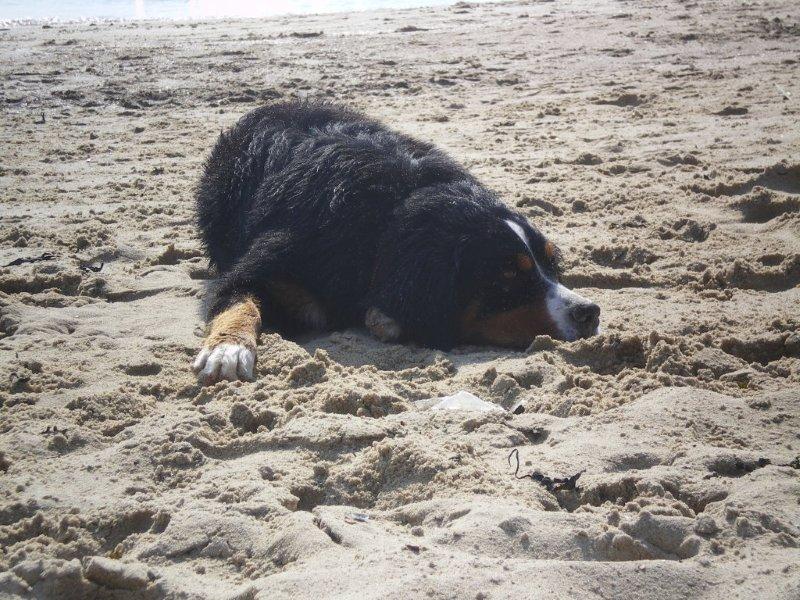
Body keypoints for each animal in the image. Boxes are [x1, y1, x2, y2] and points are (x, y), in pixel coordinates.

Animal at [192, 101, 600, 384]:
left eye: (551, 264)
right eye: (508, 276)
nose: (589, 311)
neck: (387, 215)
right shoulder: (265, 266)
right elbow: (240, 303)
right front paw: (227, 349)